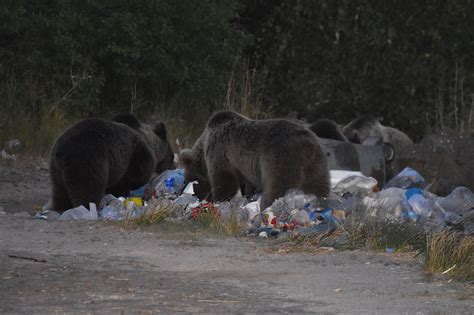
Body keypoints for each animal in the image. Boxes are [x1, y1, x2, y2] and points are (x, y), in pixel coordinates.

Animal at [180, 110, 328, 211]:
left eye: (191, 181)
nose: (201, 197)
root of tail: (307, 144)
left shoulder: (220, 152)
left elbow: (224, 180)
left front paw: (218, 200)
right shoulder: (242, 168)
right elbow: (246, 185)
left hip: (281, 158)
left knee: (279, 186)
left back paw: (267, 208)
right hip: (316, 163)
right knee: (318, 186)